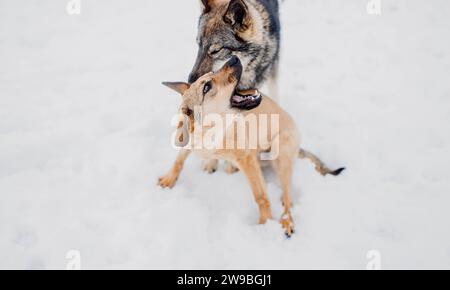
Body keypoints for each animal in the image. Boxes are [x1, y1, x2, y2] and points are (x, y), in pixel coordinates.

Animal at [159, 57, 344, 238]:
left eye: (212, 72)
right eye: (207, 87)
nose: (234, 58)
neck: (211, 132)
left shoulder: (246, 159)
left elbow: (260, 195)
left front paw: (265, 222)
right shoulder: (190, 143)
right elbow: (179, 160)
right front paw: (169, 179)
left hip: (279, 153)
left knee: (288, 195)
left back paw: (287, 220)